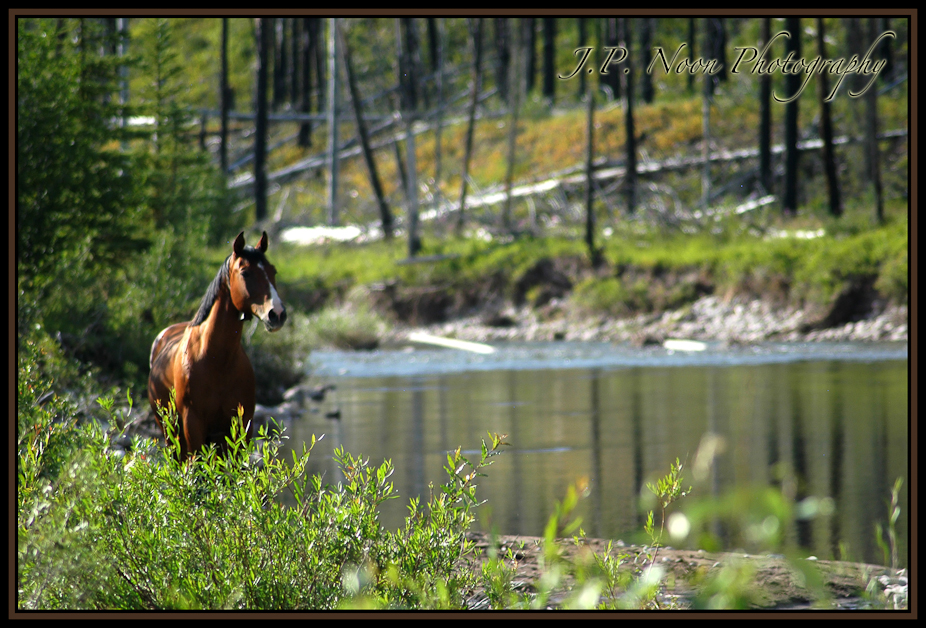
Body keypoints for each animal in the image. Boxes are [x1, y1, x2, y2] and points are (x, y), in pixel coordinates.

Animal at [146, 231, 286, 456]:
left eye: (273, 270)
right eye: (245, 272)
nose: (278, 314)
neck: (215, 359)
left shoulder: (242, 425)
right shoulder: (192, 425)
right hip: (171, 434)